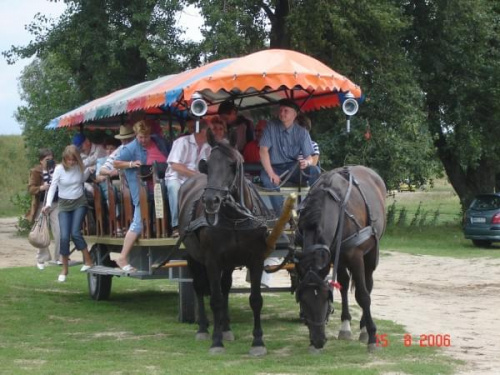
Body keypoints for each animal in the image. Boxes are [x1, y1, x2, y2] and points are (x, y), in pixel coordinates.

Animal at [178, 131, 274, 356]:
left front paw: (258, 342)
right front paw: (216, 342)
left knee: (226, 287)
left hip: (229, 262)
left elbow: (255, 300)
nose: (210, 200)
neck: (235, 218)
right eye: (208, 164)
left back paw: (226, 328)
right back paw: (204, 329)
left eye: (233, 165)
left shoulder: (256, 260)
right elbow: (215, 300)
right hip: (193, 257)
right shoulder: (212, 261)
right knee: (199, 286)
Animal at [294, 167, 388, 352]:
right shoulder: (331, 254)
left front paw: (372, 337)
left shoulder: (356, 256)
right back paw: (345, 326)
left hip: (371, 251)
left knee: (368, 283)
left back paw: (364, 328)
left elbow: (362, 295)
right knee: (344, 283)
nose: (318, 341)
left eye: (326, 298)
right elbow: (342, 286)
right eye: (303, 300)